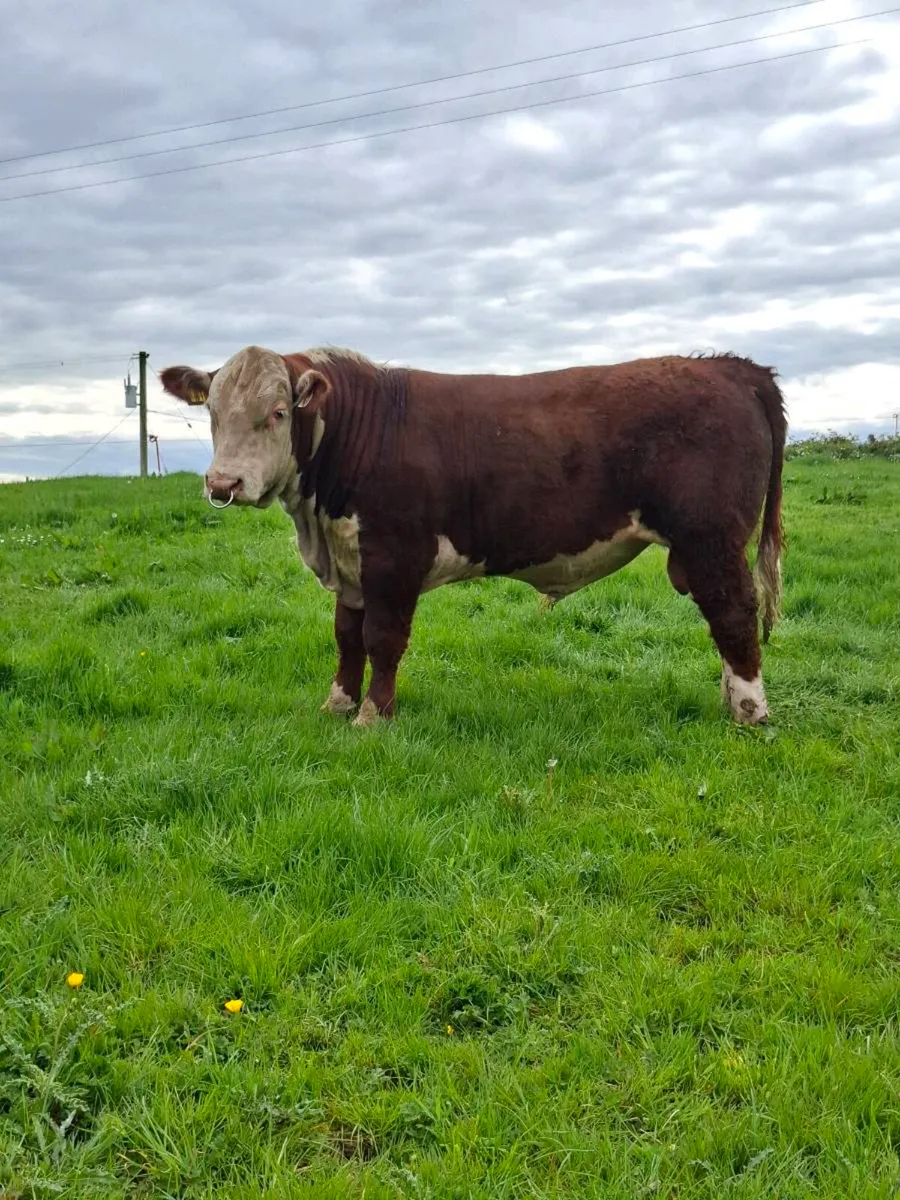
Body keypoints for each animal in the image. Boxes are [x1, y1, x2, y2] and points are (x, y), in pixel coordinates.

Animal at [160, 345, 786, 729]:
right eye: (212, 412)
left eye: (278, 412)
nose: (224, 483)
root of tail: (733, 369)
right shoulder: (352, 559)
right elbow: (347, 637)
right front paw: (337, 704)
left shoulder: (394, 558)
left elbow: (382, 639)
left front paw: (373, 716)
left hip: (710, 537)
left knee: (734, 613)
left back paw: (749, 710)